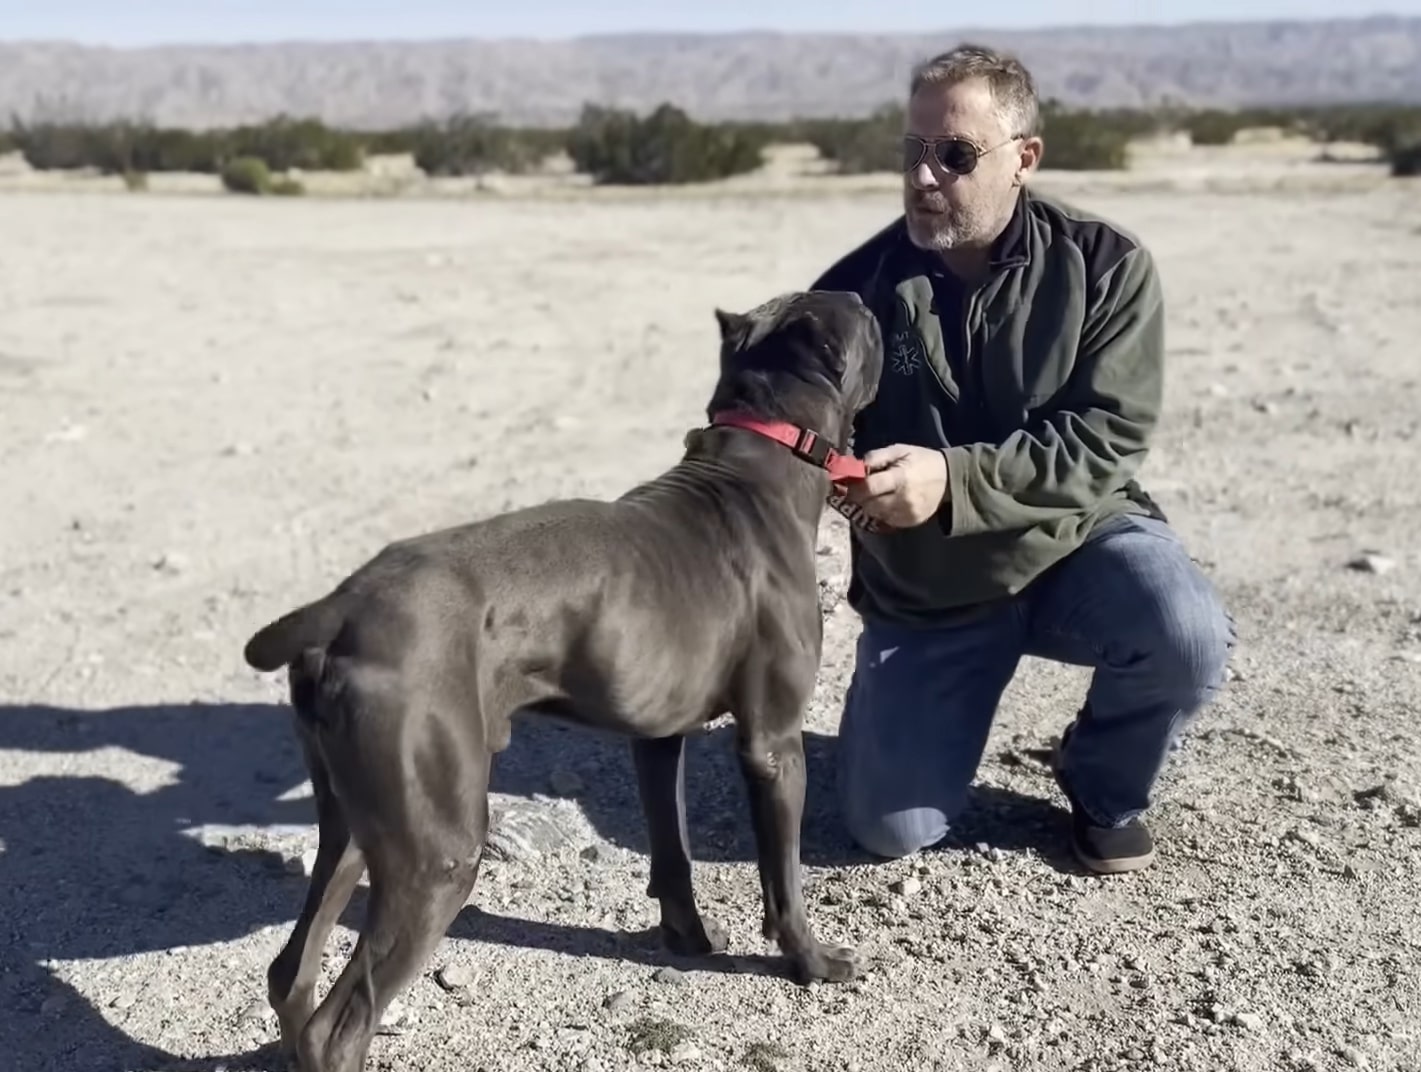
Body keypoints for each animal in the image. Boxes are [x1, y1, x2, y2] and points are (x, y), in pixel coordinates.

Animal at [245, 285, 886, 1069]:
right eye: (860, 313)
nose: (873, 296)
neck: (758, 456)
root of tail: (342, 606)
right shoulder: (774, 744)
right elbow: (784, 878)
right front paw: (812, 962)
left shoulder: (658, 735)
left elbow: (672, 850)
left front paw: (689, 940)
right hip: (440, 853)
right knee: (339, 1026)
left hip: (351, 821)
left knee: (290, 973)